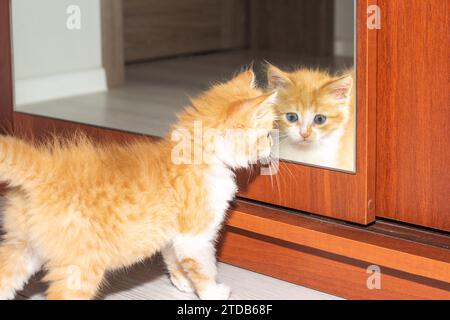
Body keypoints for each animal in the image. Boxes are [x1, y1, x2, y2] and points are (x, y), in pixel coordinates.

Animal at [0, 70, 276, 300]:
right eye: (266, 135)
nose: (272, 148)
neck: (195, 154)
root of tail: (46, 169)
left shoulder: (173, 236)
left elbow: (174, 259)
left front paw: (182, 282)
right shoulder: (195, 237)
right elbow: (204, 267)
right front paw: (212, 293)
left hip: (23, 248)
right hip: (80, 268)